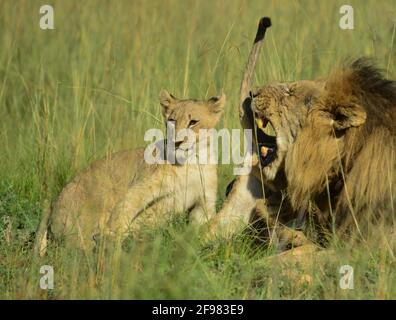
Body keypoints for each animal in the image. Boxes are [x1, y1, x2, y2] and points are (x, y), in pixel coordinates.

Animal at [33, 90, 226, 255]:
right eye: (172, 121)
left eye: (193, 122)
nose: (177, 142)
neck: (192, 163)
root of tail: (54, 203)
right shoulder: (142, 185)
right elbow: (126, 208)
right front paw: (116, 239)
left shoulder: (204, 203)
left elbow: (199, 228)